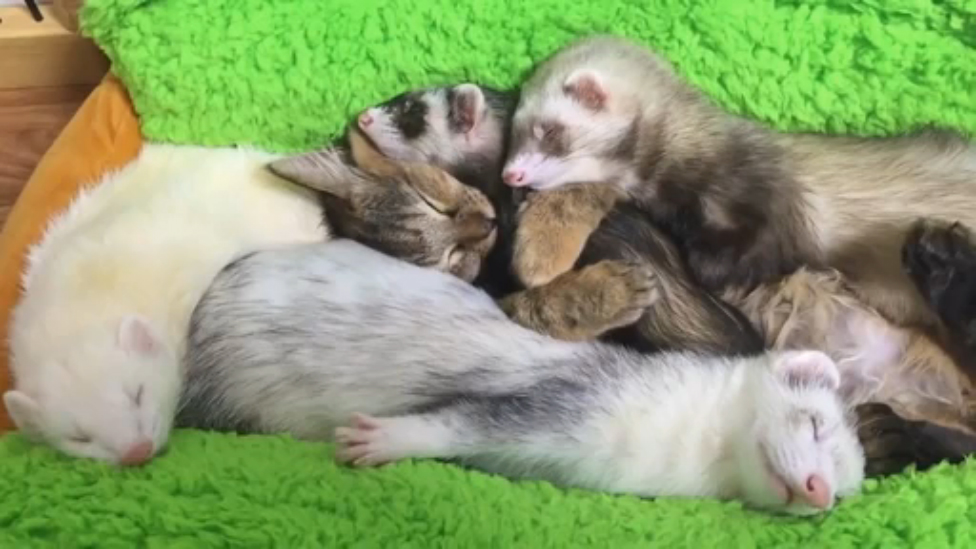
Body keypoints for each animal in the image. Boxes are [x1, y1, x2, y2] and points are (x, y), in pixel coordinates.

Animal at [178, 239, 865, 516]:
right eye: (813, 421)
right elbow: (455, 423)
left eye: (847, 490)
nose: (817, 492)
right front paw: (381, 440)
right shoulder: (548, 407)